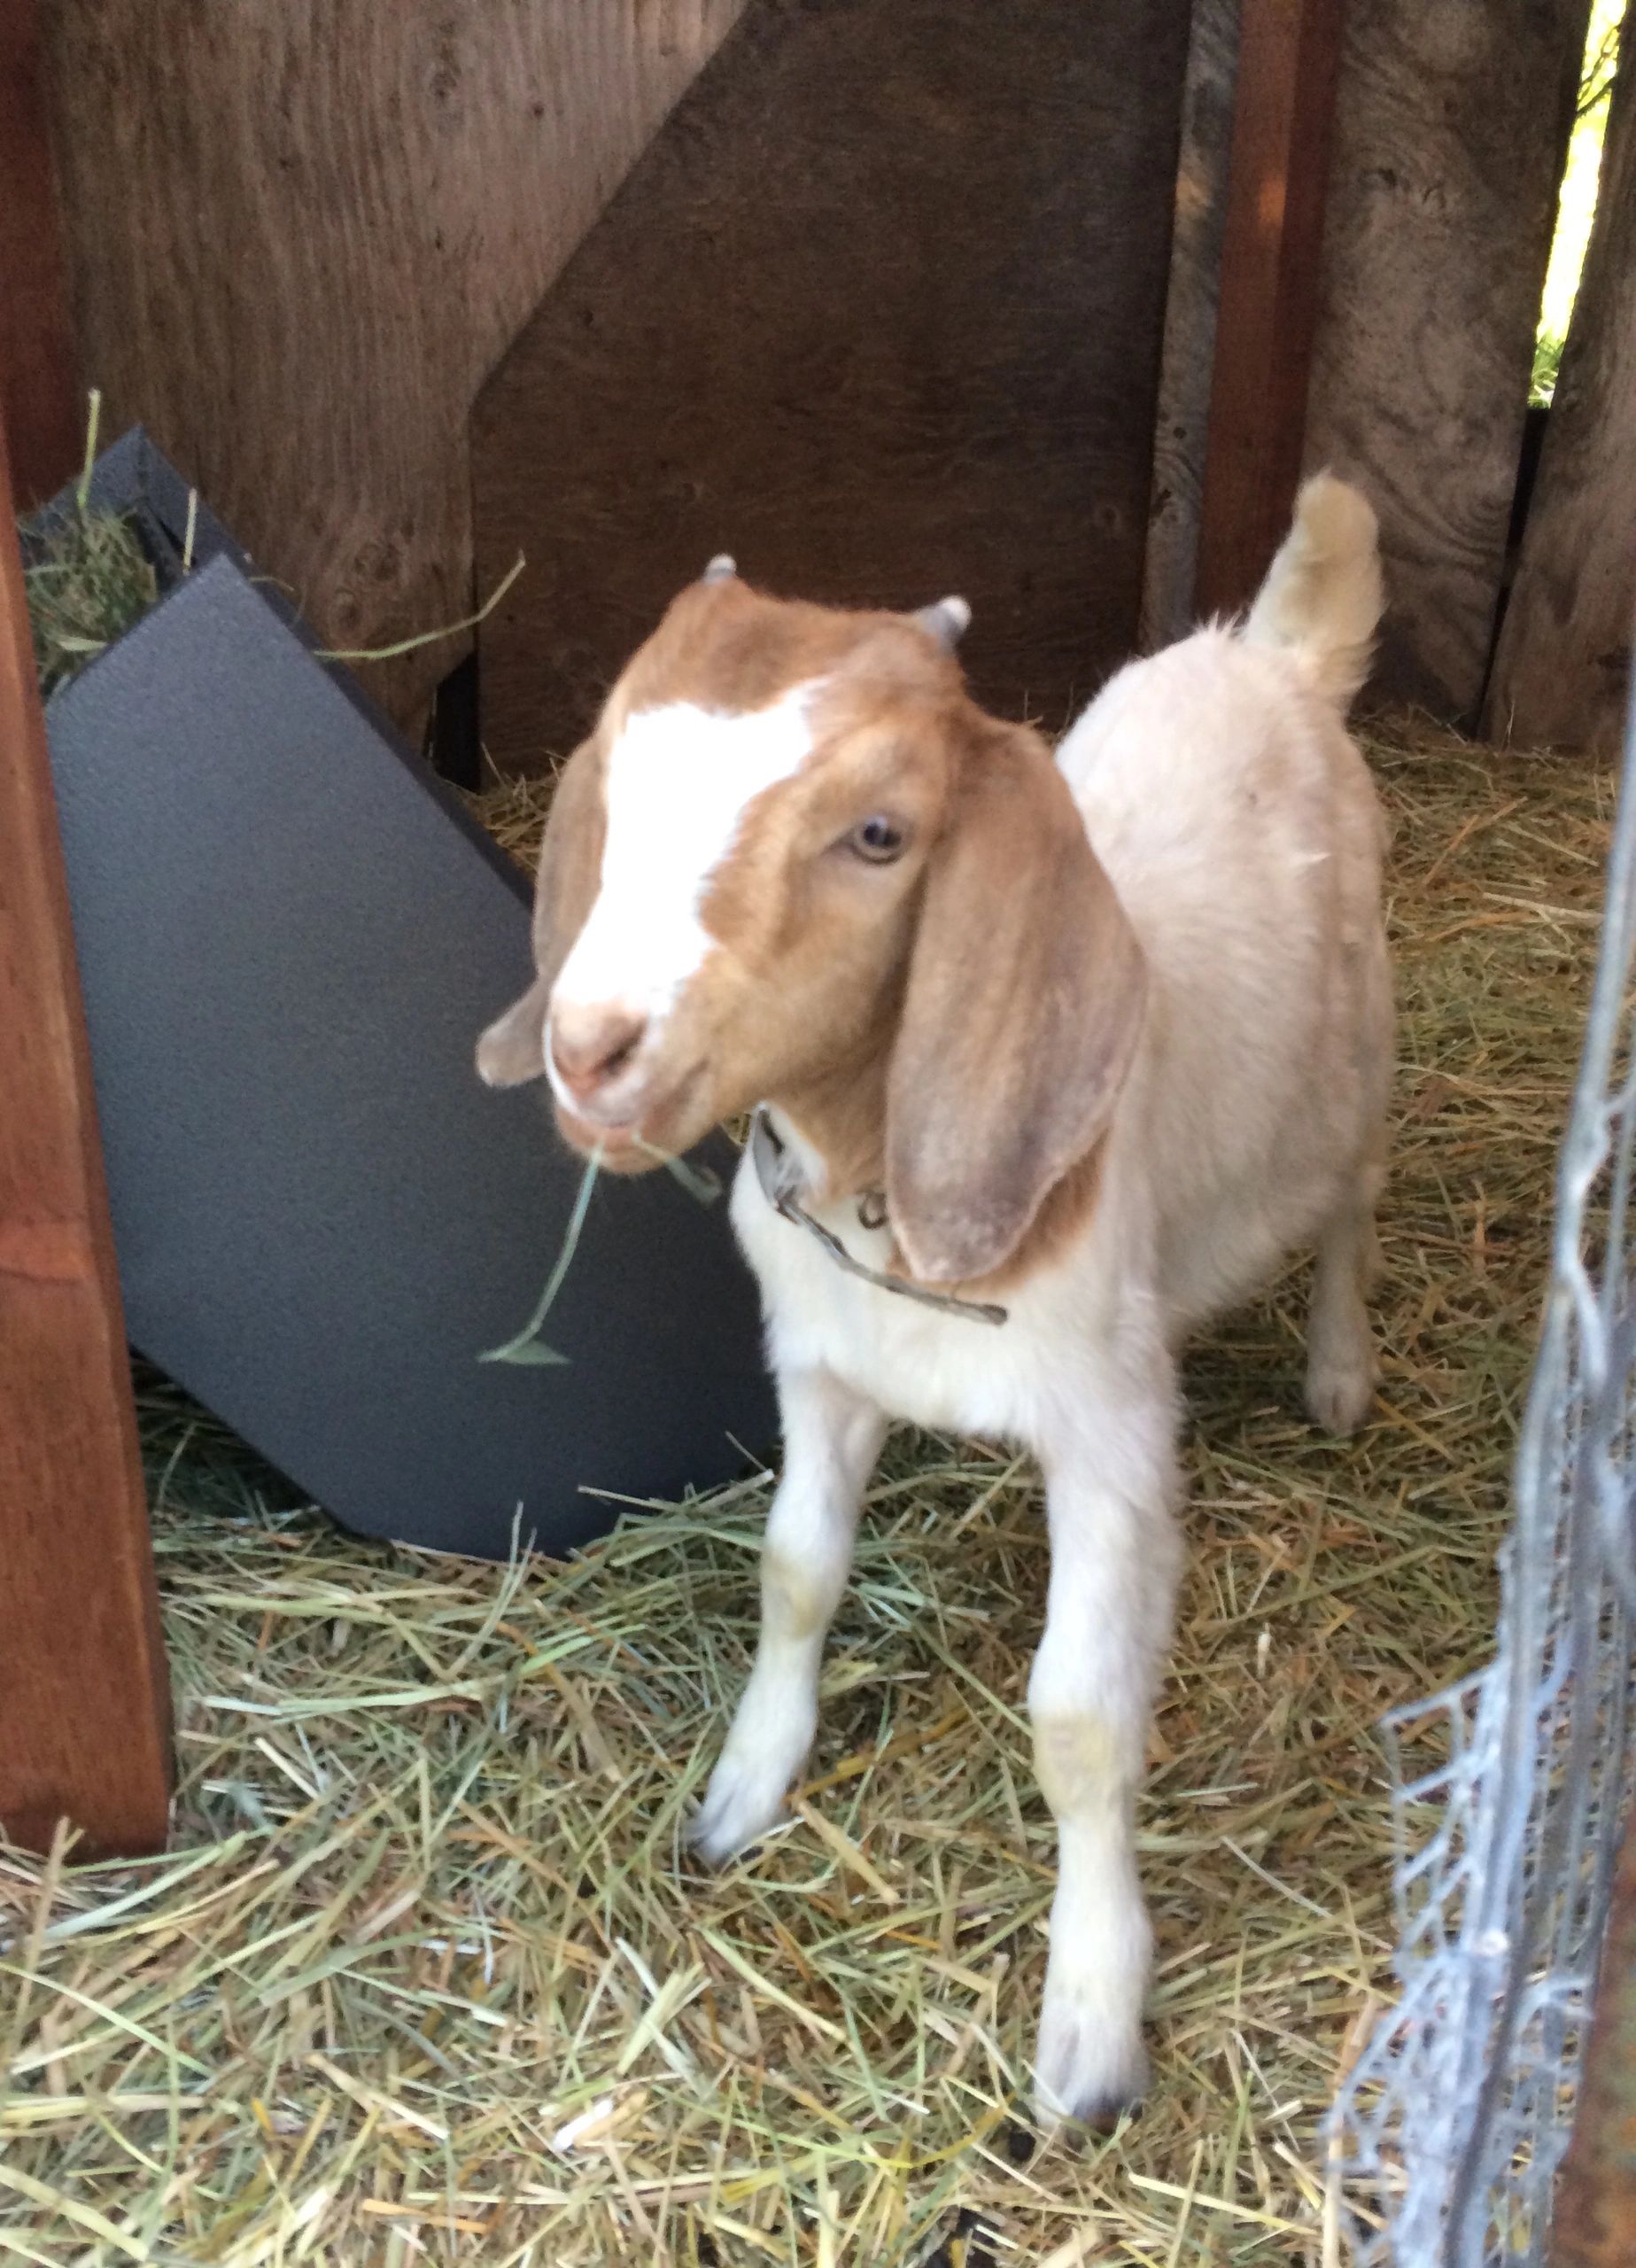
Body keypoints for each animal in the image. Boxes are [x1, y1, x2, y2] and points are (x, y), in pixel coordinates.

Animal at [477, 476, 1391, 2124]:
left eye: (878, 834)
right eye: (617, 769)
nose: (589, 1049)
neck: (882, 1194)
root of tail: (1270, 655)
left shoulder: (1109, 1435)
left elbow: (1080, 1720)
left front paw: (1090, 2027)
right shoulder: (819, 1374)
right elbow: (793, 1574)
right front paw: (740, 1791)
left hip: (1357, 1055)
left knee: (1352, 1196)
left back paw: (1339, 1371)